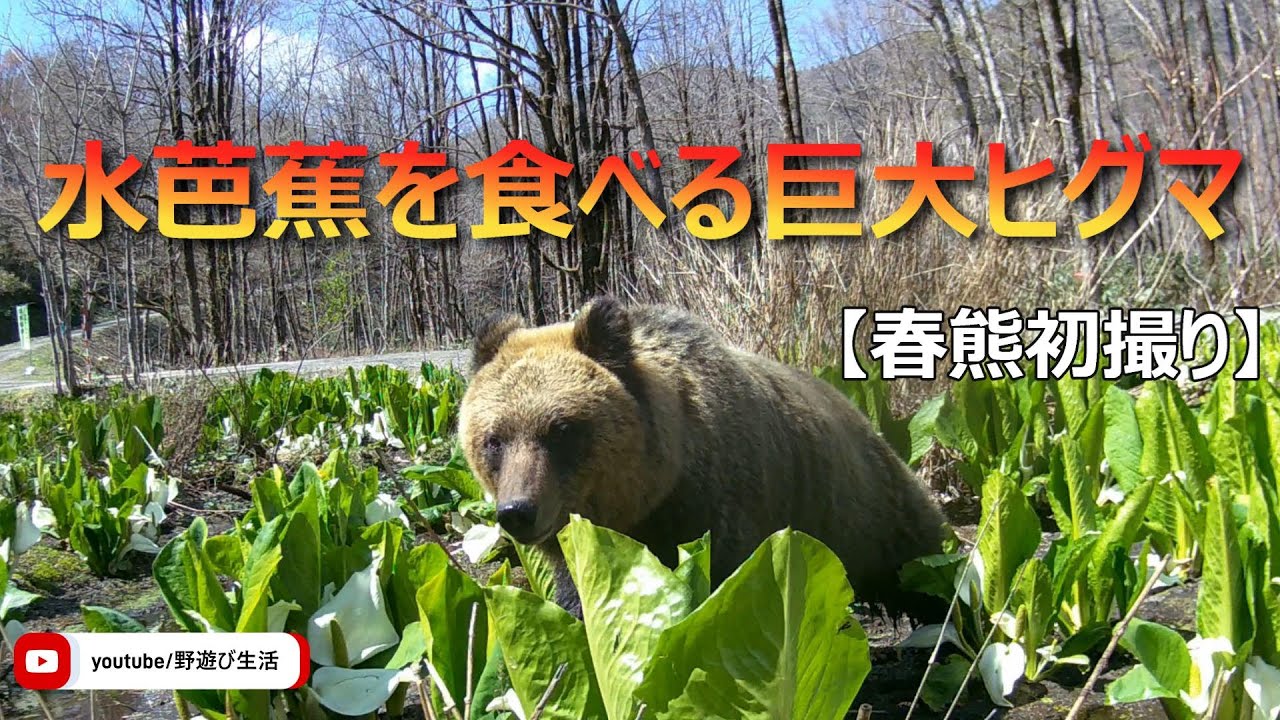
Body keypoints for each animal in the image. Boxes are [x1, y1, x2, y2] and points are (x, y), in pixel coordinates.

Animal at [457, 296, 947, 617]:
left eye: (561, 429)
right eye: (495, 439)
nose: (518, 511)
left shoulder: (719, 517)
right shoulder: (585, 547)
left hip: (868, 512)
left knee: (921, 567)